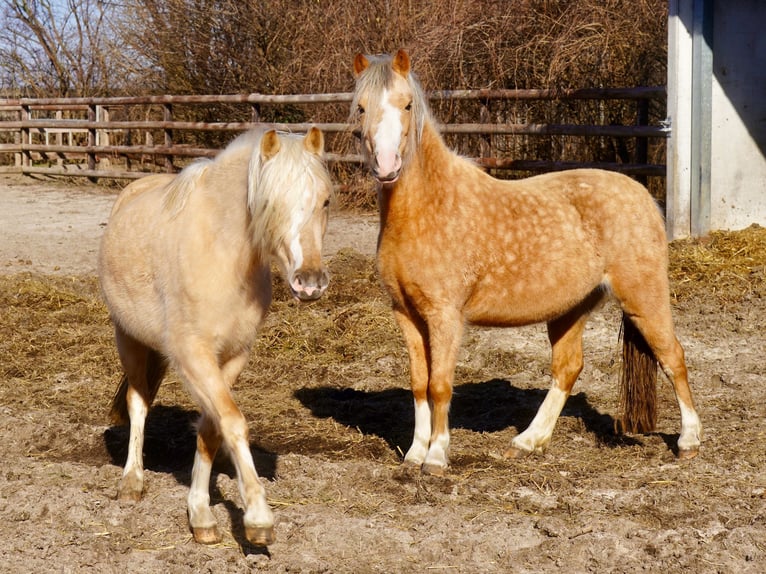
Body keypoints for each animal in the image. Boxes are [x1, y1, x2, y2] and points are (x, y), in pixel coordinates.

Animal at [98, 127, 330, 548]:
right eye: (270, 202)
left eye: (325, 200)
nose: (310, 282)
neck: (223, 254)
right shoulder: (193, 355)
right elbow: (233, 422)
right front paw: (257, 517)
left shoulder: (232, 356)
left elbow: (211, 427)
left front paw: (201, 515)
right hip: (129, 340)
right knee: (138, 404)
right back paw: (131, 482)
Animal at [352, 49, 704, 476]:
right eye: (361, 108)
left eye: (406, 105)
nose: (387, 166)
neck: (427, 207)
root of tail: (642, 194)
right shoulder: (406, 314)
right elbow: (419, 382)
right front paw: (415, 453)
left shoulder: (445, 316)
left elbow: (439, 384)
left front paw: (436, 457)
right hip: (571, 309)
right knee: (567, 369)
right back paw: (527, 442)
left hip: (643, 297)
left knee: (673, 357)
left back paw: (689, 441)